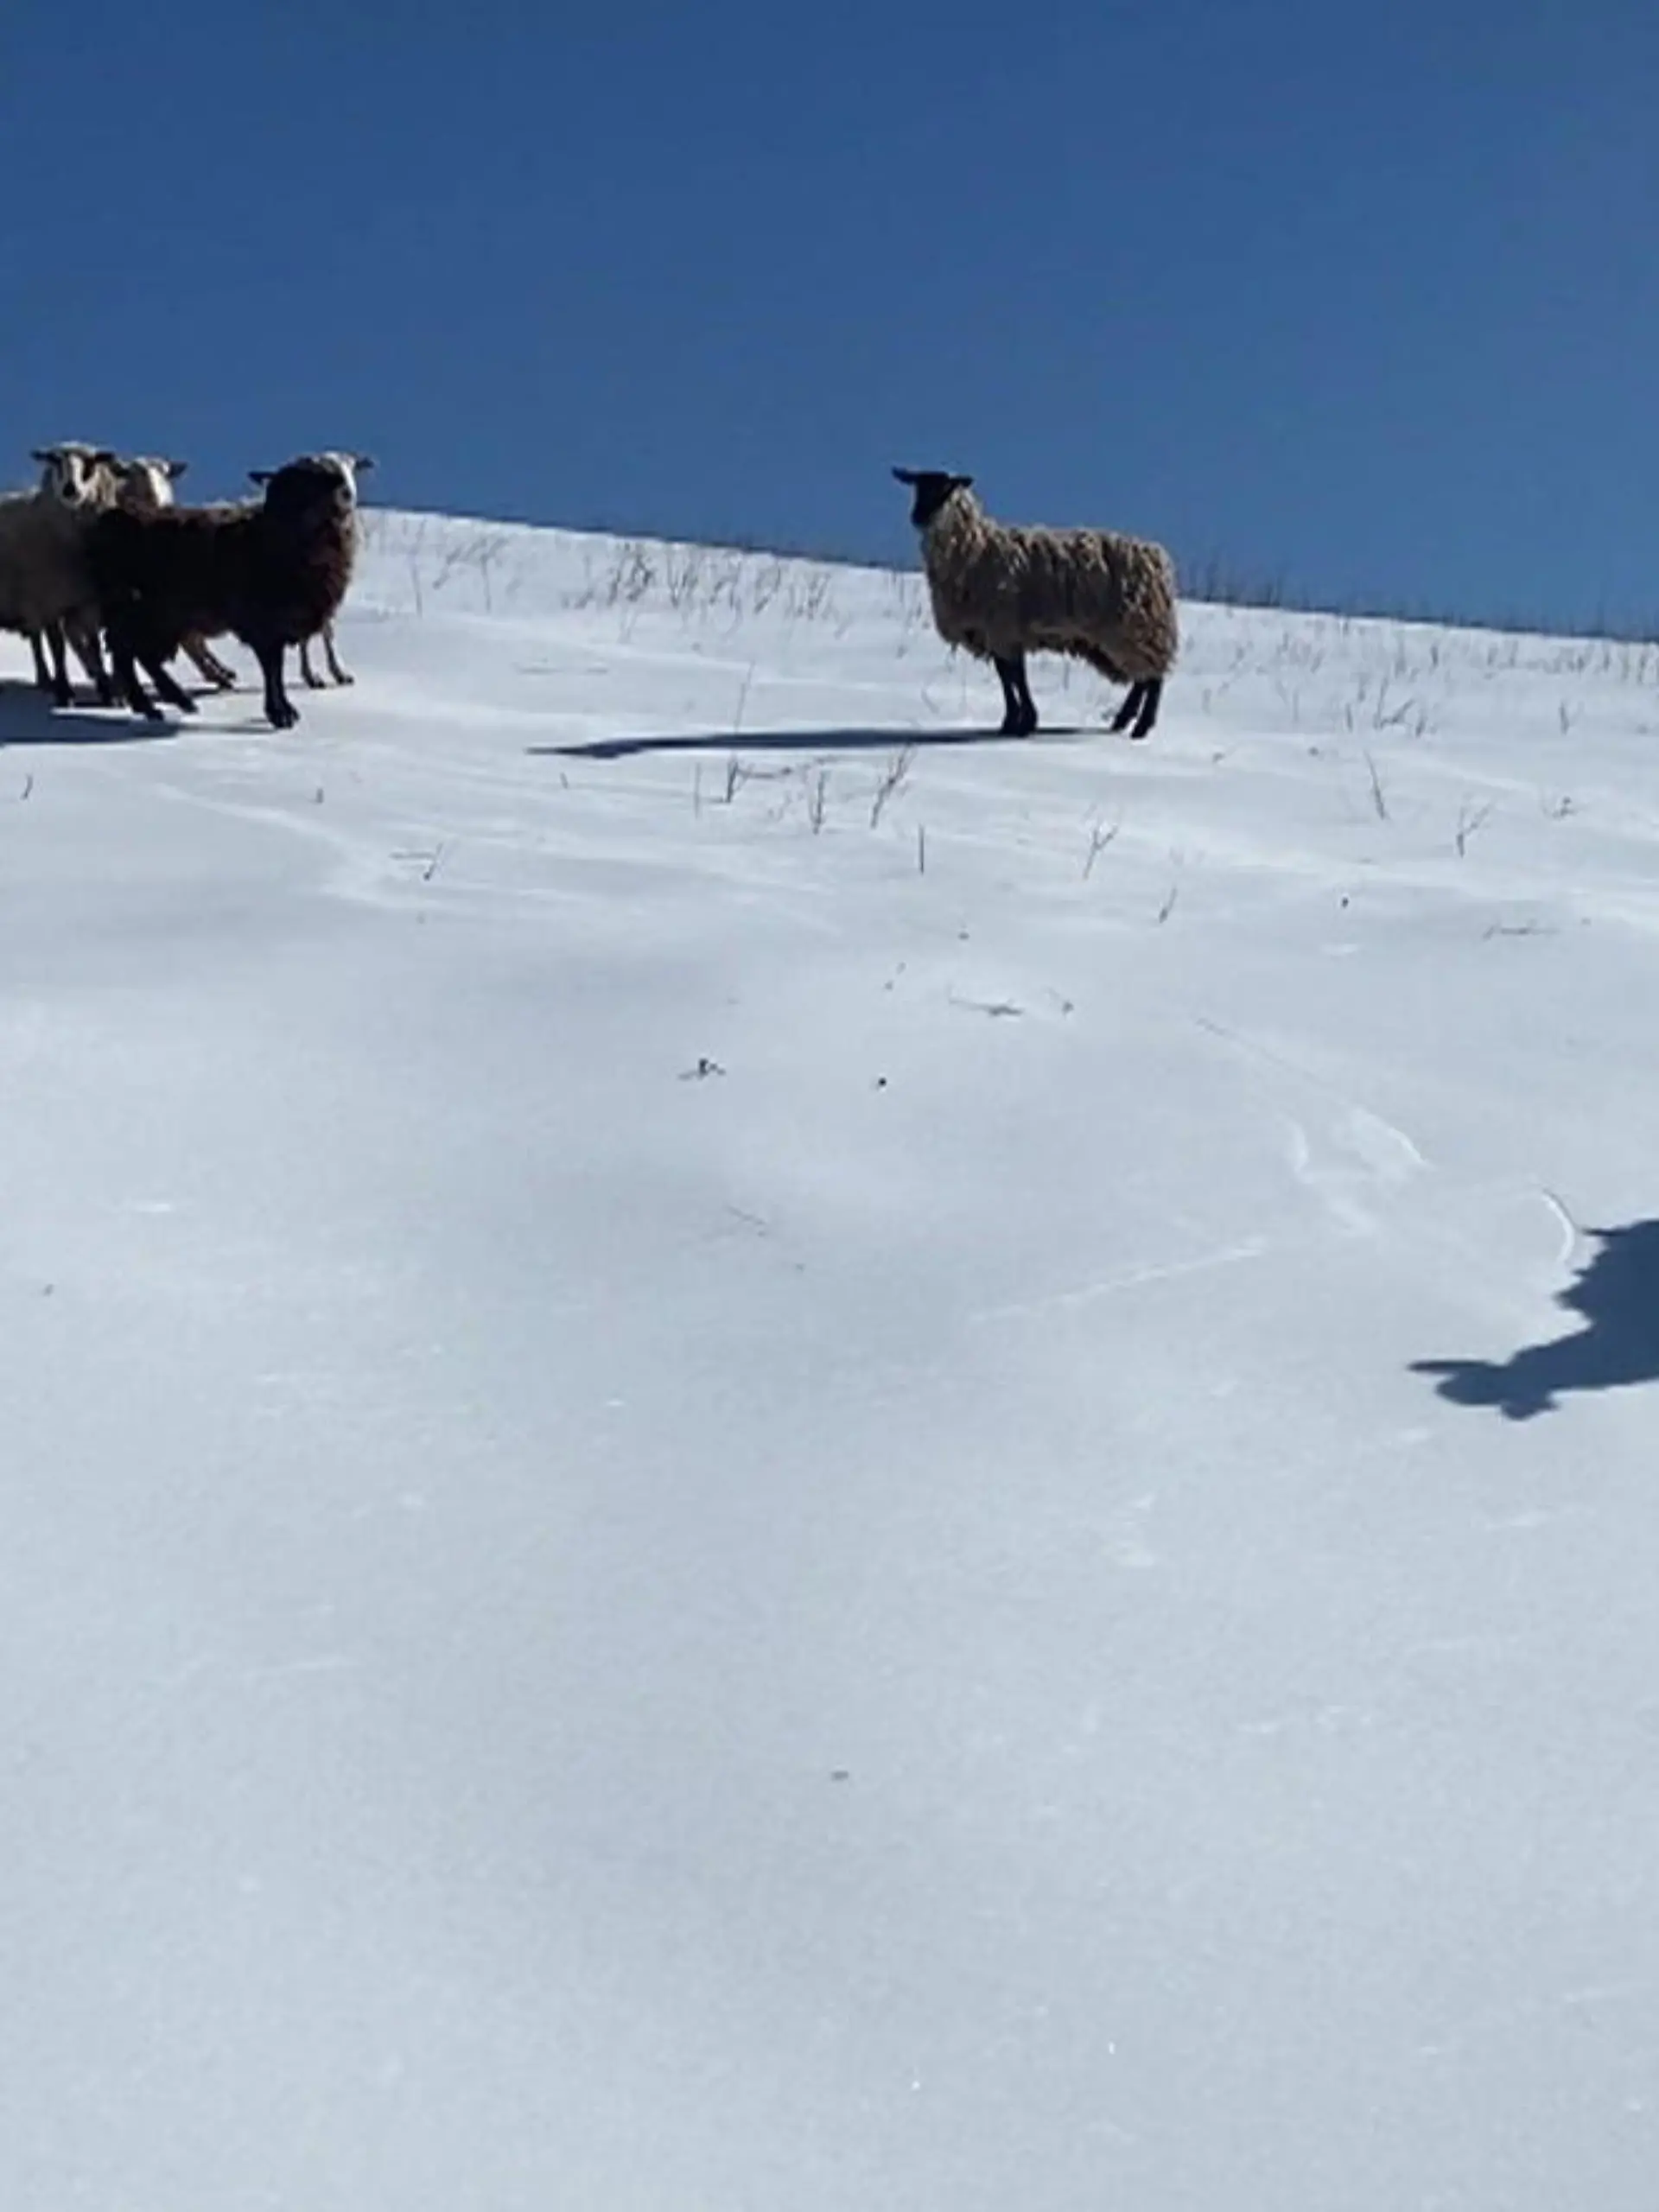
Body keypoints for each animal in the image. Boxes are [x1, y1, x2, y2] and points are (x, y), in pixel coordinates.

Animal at [0, 443, 120, 707]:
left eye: (90, 464)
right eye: (55, 462)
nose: (69, 489)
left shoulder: (87, 600)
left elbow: (94, 644)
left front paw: (107, 692)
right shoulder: (47, 600)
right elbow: (57, 647)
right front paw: (64, 691)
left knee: (35, 640)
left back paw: (45, 680)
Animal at [89, 454, 363, 731]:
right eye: (309, 477)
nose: (346, 491)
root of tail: (116, 519)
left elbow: (278, 666)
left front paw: (285, 709)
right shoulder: (264, 622)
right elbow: (272, 668)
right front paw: (280, 713)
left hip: (157, 618)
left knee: (139, 655)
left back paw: (173, 701)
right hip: (139, 610)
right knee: (126, 652)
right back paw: (150, 703)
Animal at [891, 468, 1177, 740]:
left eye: (946, 489)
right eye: (917, 487)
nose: (918, 517)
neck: (976, 551)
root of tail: (1157, 558)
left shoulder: (1005, 627)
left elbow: (1016, 677)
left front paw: (1024, 721)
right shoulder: (994, 632)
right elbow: (1006, 676)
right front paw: (1011, 722)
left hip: (1138, 627)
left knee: (1154, 678)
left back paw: (1141, 726)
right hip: (1133, 632)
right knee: (1143, 679)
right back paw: (1123, 720)